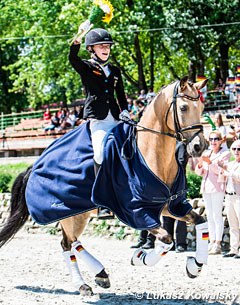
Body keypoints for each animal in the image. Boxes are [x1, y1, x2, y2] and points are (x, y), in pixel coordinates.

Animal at [0, 76, 208, 294]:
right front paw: (139, 258)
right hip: (65, 213)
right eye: (184, 107)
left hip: (78, 214)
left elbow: (201, 222)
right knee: (68, 243)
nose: (199, 146)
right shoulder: (137, 212)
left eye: (202, 107)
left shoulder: (170, 205)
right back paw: (88, 280)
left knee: (70, 243)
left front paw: (195, 266)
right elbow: (167, 239)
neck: (150, 153)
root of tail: (34, 165)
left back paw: (97, 276)